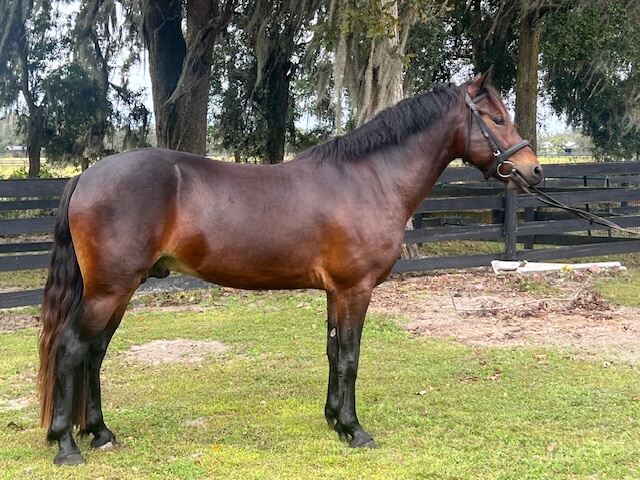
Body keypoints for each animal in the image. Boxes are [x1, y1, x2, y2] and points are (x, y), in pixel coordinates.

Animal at [38, 68, 540, 464]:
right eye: (497, 118)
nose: (534, 171)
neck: (369, 179)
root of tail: (86, 176)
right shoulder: (355, 289)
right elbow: (351, 358)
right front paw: (355, 430)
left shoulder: (336, 292)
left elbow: (334, 354)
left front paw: (334, 420)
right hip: (108, 291)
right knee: (71, 349)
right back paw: (67, 445)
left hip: (118, 290)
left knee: (94, 354)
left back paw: (100, 432)